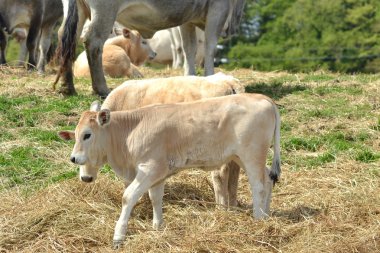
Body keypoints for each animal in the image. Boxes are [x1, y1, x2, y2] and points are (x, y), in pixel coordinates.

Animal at [55, 0, 246, 96]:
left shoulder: (188, 18)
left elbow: (189, 48)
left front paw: (190, 76)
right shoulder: (218, 9)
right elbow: (210, 46)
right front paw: (210, 76)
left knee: (66, 37)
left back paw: (67, 86)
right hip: (105, 11)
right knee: (93, 41)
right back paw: (101, 88)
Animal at [58, 92, 280, 247]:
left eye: (87, 134)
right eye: (74, 134)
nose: (74, 158)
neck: (130, 131)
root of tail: (263, 98)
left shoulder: (150, 168)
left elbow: (128, 196)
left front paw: (118, 236)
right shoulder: (158, 174)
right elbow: (156, 197)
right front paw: (158, 227)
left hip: (251, 155)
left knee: (258, 186)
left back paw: (258, 218)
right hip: (241, 157)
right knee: (269, 179)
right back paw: (267, 215)